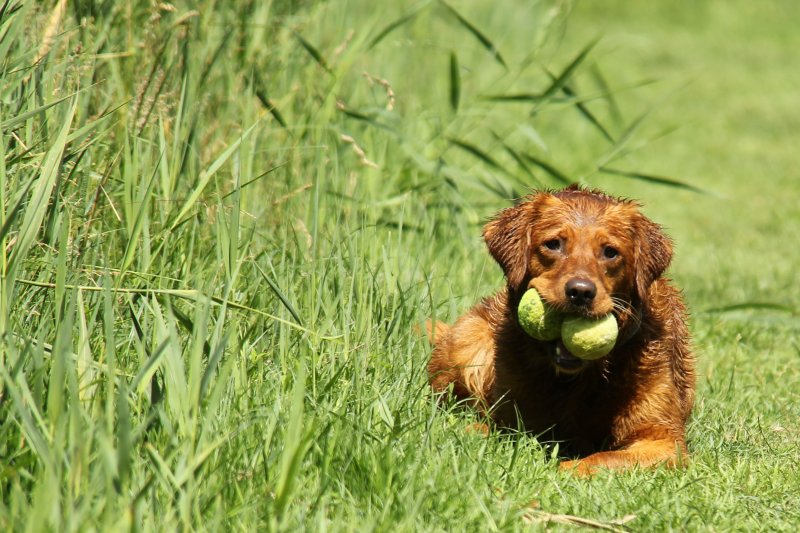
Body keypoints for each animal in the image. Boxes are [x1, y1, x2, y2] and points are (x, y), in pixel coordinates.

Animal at [428, 186, 696, 474]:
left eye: (610, 252)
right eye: (554, 244)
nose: (580, 292)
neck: (576, 381)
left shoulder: (664, 442)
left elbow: (603, 457)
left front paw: (563, 469)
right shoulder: (511, 415)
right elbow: (489, 427)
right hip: (469, 339)